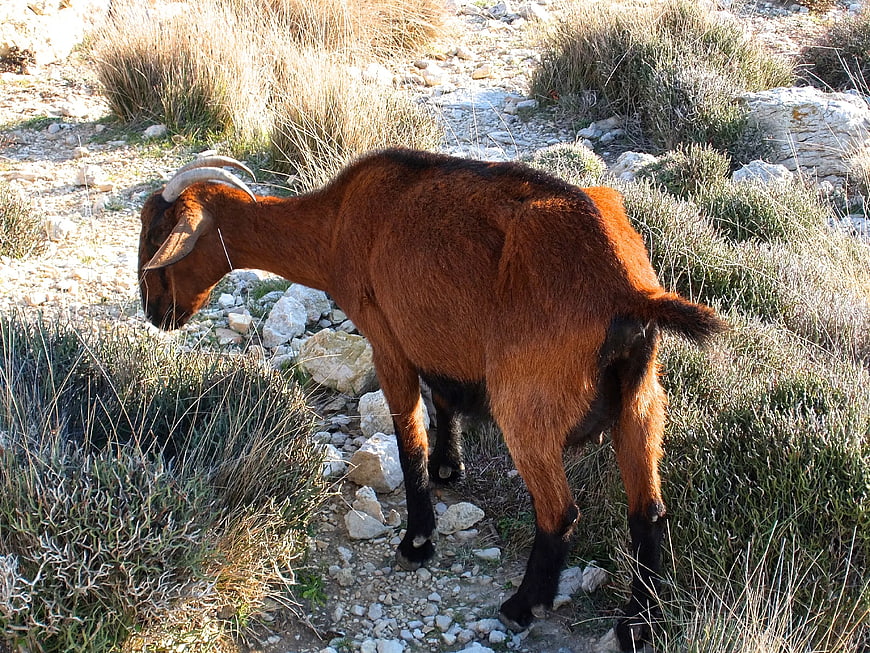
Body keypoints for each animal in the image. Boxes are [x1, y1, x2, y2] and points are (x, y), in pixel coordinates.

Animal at [138, 148, 726, 650]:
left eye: (159, 235)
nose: (154, 312)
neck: (336, 223)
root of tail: (627, 289)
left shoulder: (387, 340)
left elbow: (407, 439)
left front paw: (417, 540)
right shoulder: (434, 340)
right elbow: (443, 398)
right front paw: (449, 467)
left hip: (526, 403)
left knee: (560, 511)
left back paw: (521, 606)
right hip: (641, 402)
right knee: (648, 512)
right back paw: (637, 624)